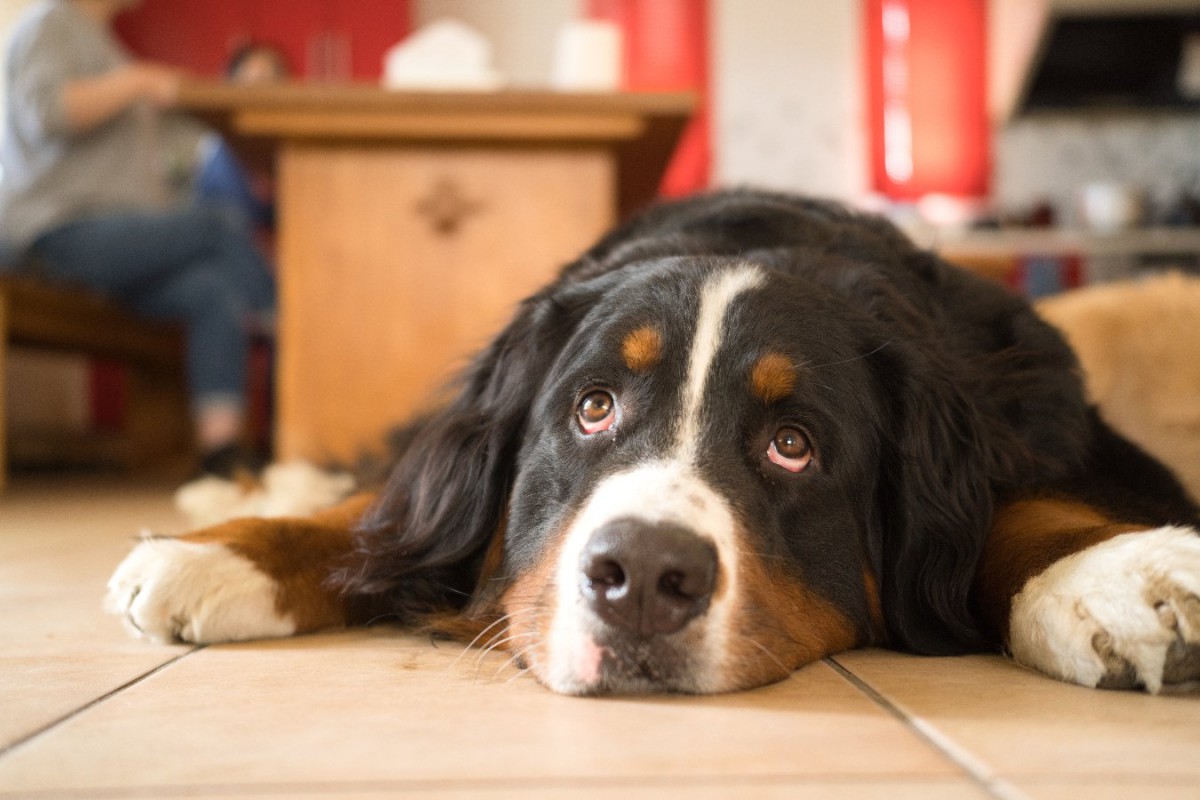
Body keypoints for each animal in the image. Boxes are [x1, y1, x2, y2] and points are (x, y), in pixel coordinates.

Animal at [105, 190, 1200, 695]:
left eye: (793, 444)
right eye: (592, 408)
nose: (639, 574)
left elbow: (1030, 505)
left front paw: (1110, 576)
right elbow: (389, 512)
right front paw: (224, 554)